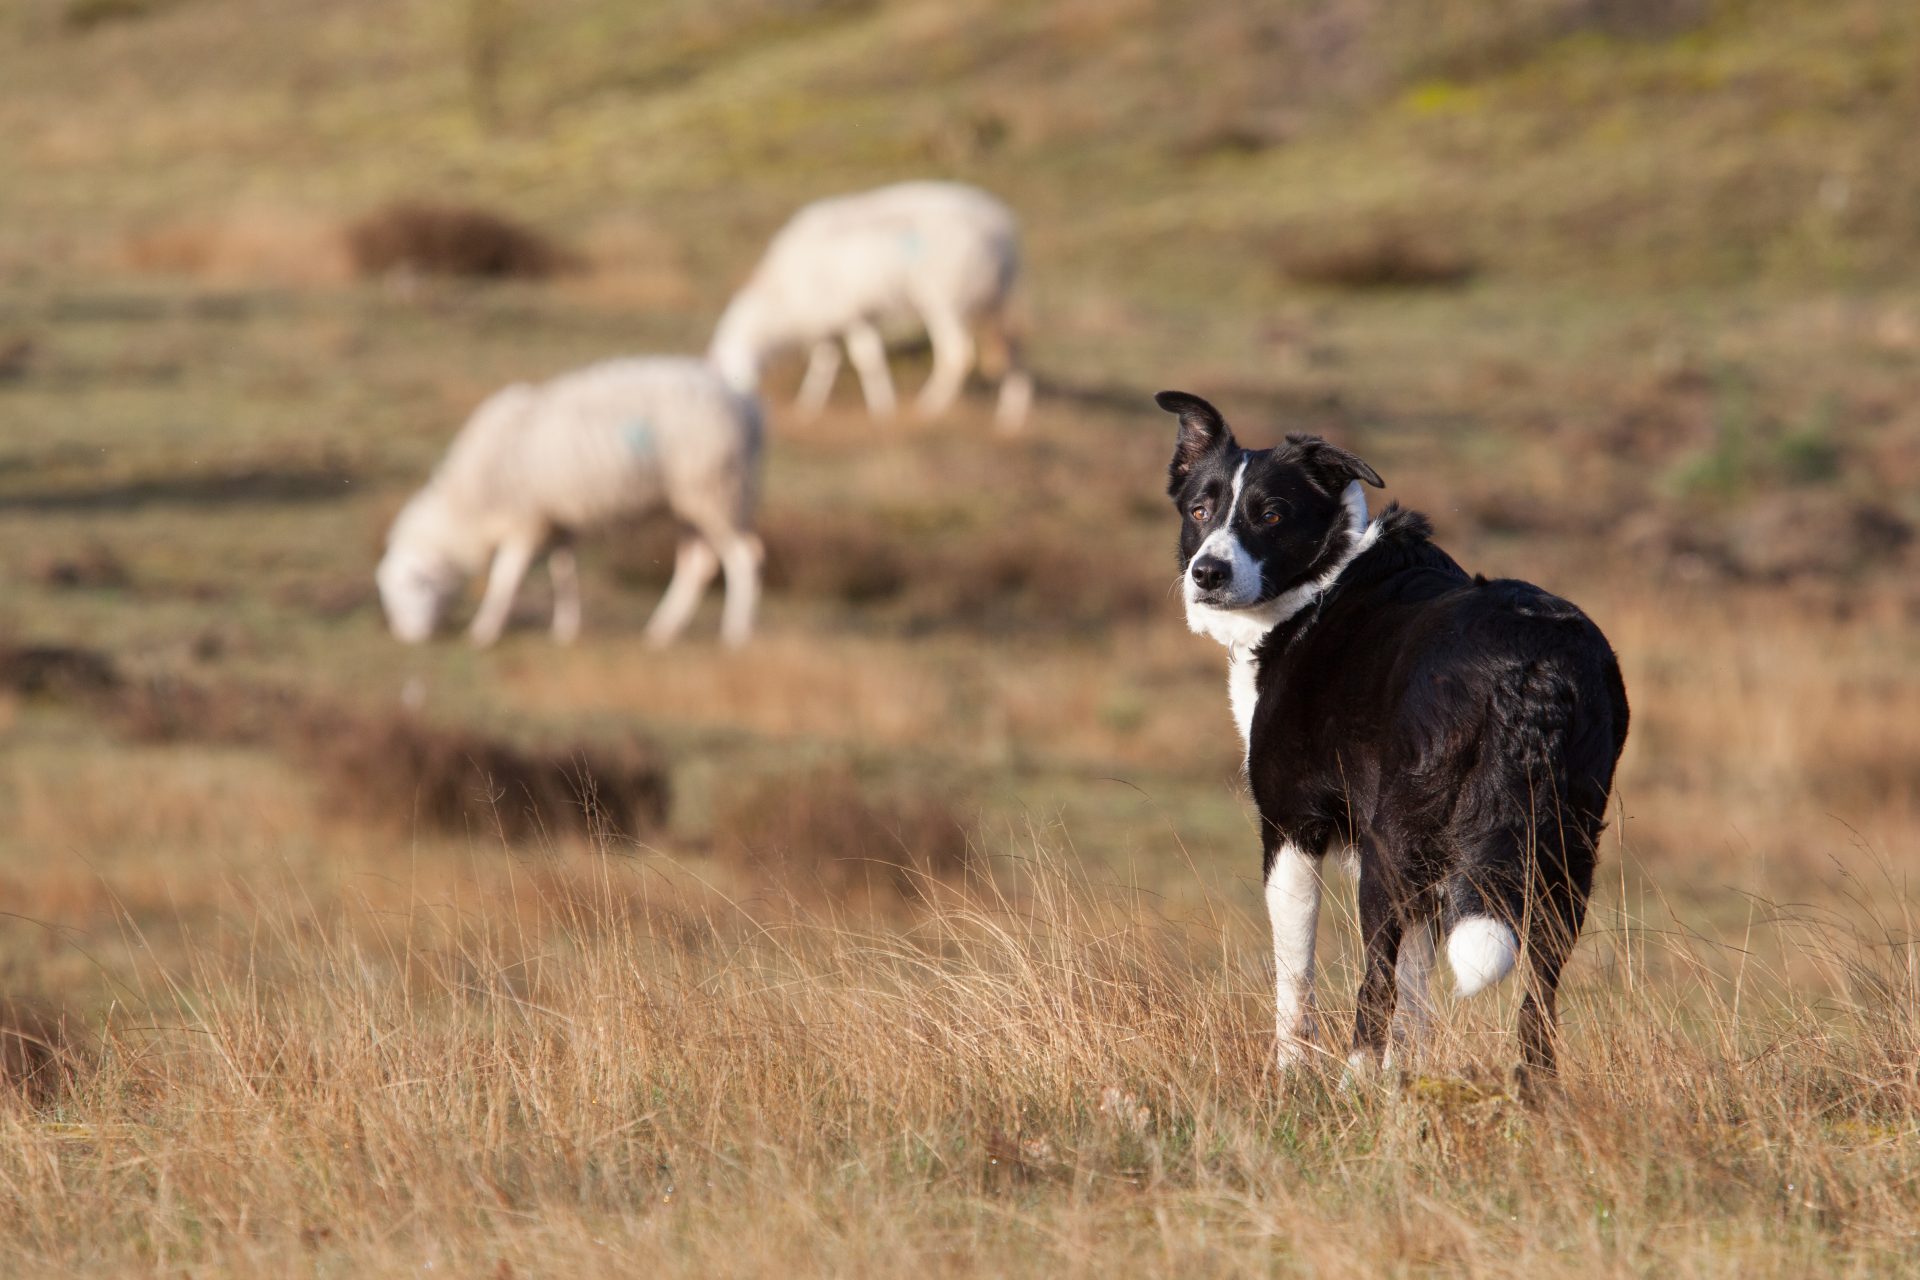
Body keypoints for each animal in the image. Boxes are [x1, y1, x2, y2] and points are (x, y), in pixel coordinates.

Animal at [374, 358, 764, 652]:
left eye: (414, 586)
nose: (407, 639)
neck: (470, 499)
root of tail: (748, 406)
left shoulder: (525, 522)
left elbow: (504, 580)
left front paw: (483, 632)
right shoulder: (557, 523)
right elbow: (563, 572)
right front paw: (564, 630)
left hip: (717, 490)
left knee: (743, 557)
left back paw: (736, 634)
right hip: (693, 502)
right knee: (697, 564)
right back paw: (661, 630)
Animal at [710, 177, 1036, 433]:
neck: (782, 300)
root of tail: (1001, 225)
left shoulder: (852, 314)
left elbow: (866, 358)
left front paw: (882, 409)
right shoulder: (829, 320)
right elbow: (825, 361)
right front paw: (809, 406)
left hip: (947, 298)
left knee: (958, 354)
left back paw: (928, 408)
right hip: (998, 298)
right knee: (1014, 348)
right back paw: (1011, 416)